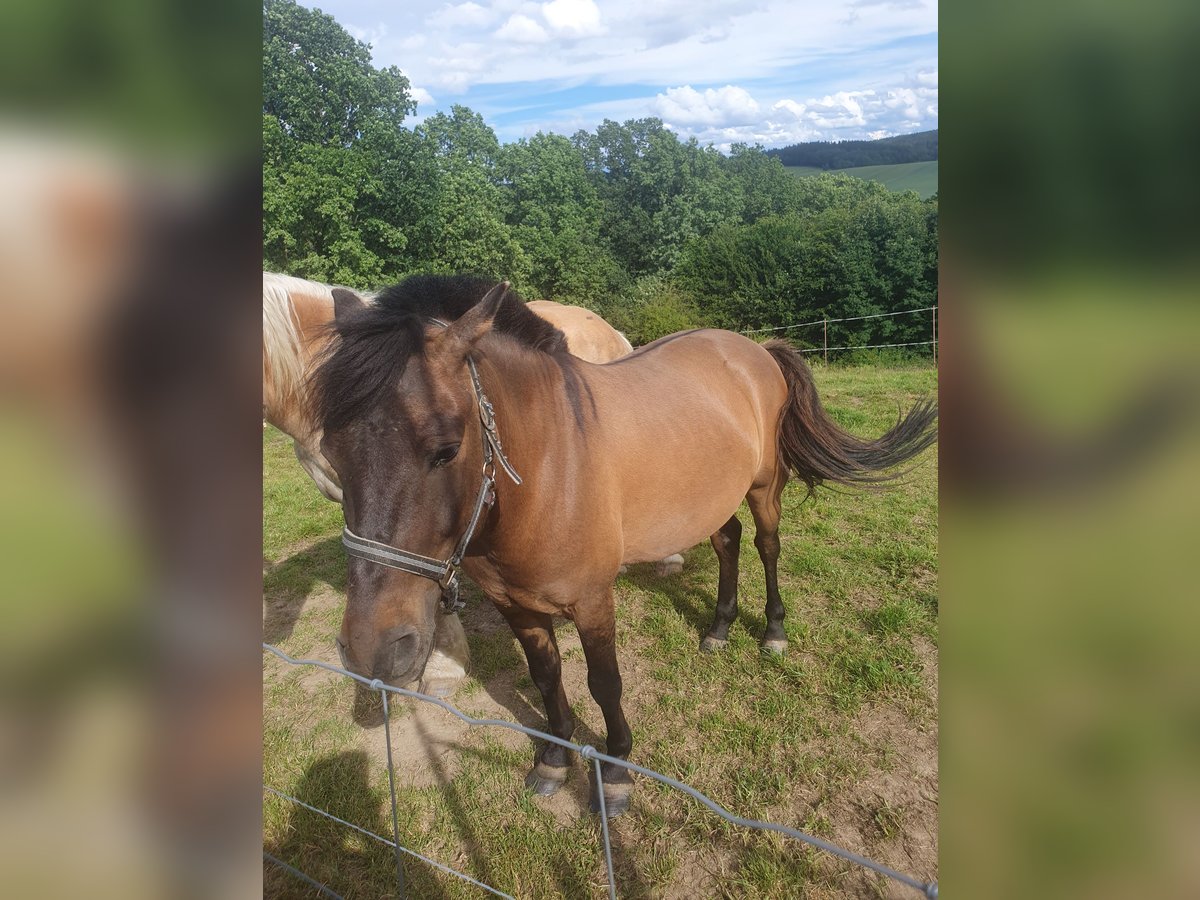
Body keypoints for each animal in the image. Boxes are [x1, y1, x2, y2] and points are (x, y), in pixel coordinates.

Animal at [309, 274, 936, 816]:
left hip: (763, 487)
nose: (371, 651)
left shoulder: (592, 603)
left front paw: (614, 772)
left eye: (444, 448)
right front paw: (554, 759)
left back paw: (773, 632)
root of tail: (753, 349)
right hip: (704, 498)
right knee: (728, 541)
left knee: (767, 545)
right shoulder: (517, 607)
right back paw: (719, 628)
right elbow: (546, 677)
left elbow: (603, 683)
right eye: (332, 455)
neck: (547, 467)